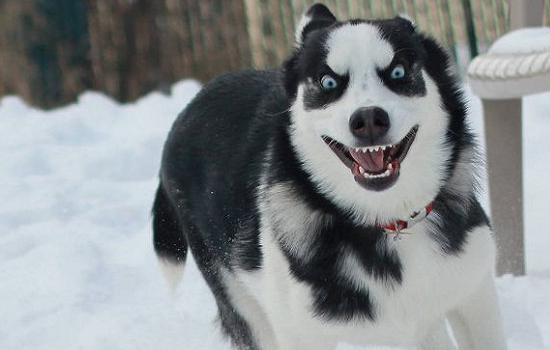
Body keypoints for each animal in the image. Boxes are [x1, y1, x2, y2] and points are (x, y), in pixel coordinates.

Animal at [153, 3, 512, 350]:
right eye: (328, 82)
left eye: (398, 72)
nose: (368, 119)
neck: (386, 220)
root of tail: (184, 114)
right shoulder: (298, 332)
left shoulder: (472, 294)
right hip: (238, 298)